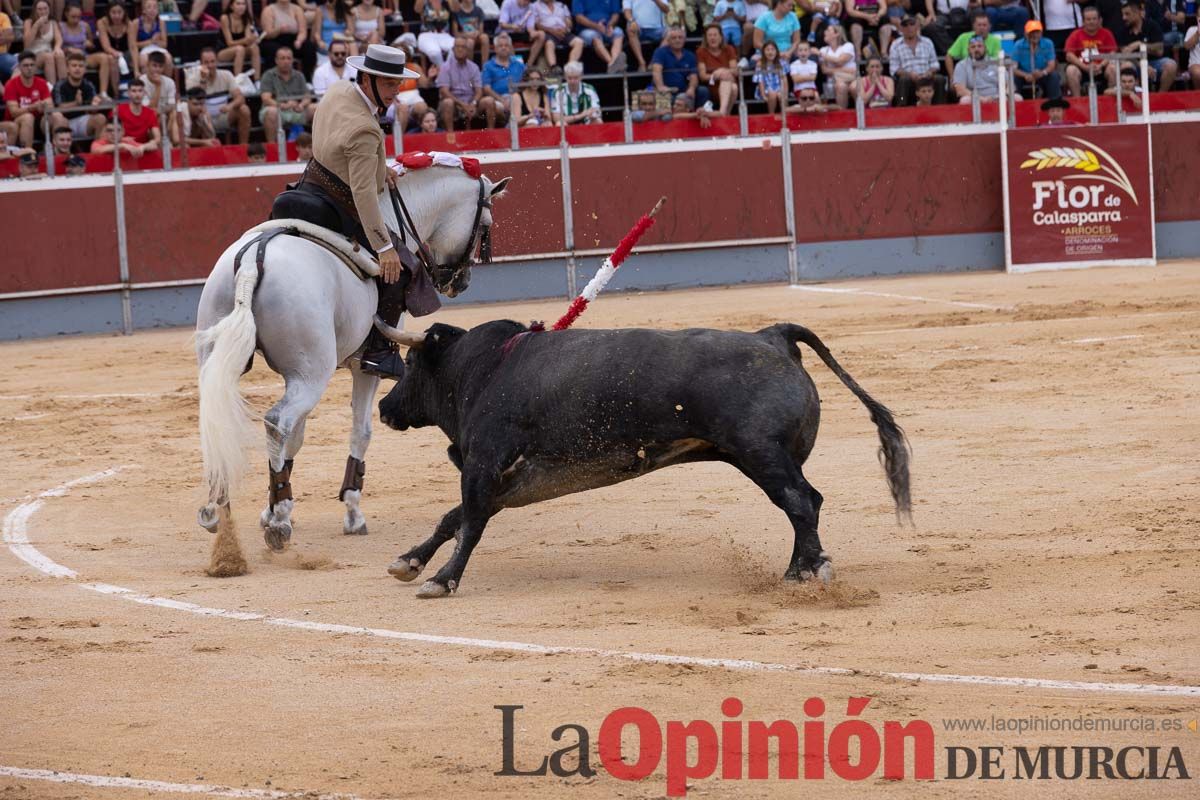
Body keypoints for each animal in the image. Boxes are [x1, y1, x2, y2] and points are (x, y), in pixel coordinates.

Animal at [193, 165, 511, 563]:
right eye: (485, 224)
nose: (460, 282)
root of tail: (252, 263)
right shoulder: (363, 367)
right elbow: (361, 431)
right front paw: (349, 513)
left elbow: (297, 439)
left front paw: (273, 507)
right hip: (311, 374)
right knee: (276, 422)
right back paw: (278, 525)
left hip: (225, 360)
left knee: (221, 419)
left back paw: (217, 507)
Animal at [379, 316, 912, 594]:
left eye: (411, 363)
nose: (385, 407)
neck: (484, 369)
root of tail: (772, 335)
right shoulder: (506, 479)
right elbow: (454, 518)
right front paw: (409, 562)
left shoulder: (484, 465)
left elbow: (469, 523)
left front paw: (442, 580)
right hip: (757, 457)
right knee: (807, 503)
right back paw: (800, 569)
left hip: (762, 454)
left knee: (800, 503)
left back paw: (806, 571)